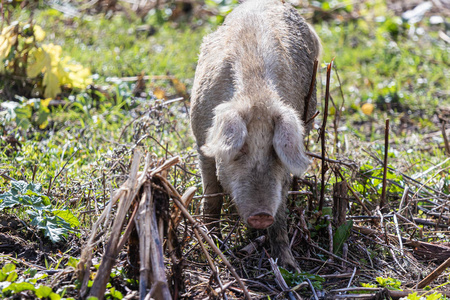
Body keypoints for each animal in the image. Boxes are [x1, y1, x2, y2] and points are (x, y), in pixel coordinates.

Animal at [190, 0, 320, 270]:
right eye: (241, 149)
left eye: (275, 151)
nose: (261, 215)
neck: (256, 97)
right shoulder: (201, 142)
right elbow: (212, 194)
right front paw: (211, 246)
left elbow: (281, 213)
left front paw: (290, 267)